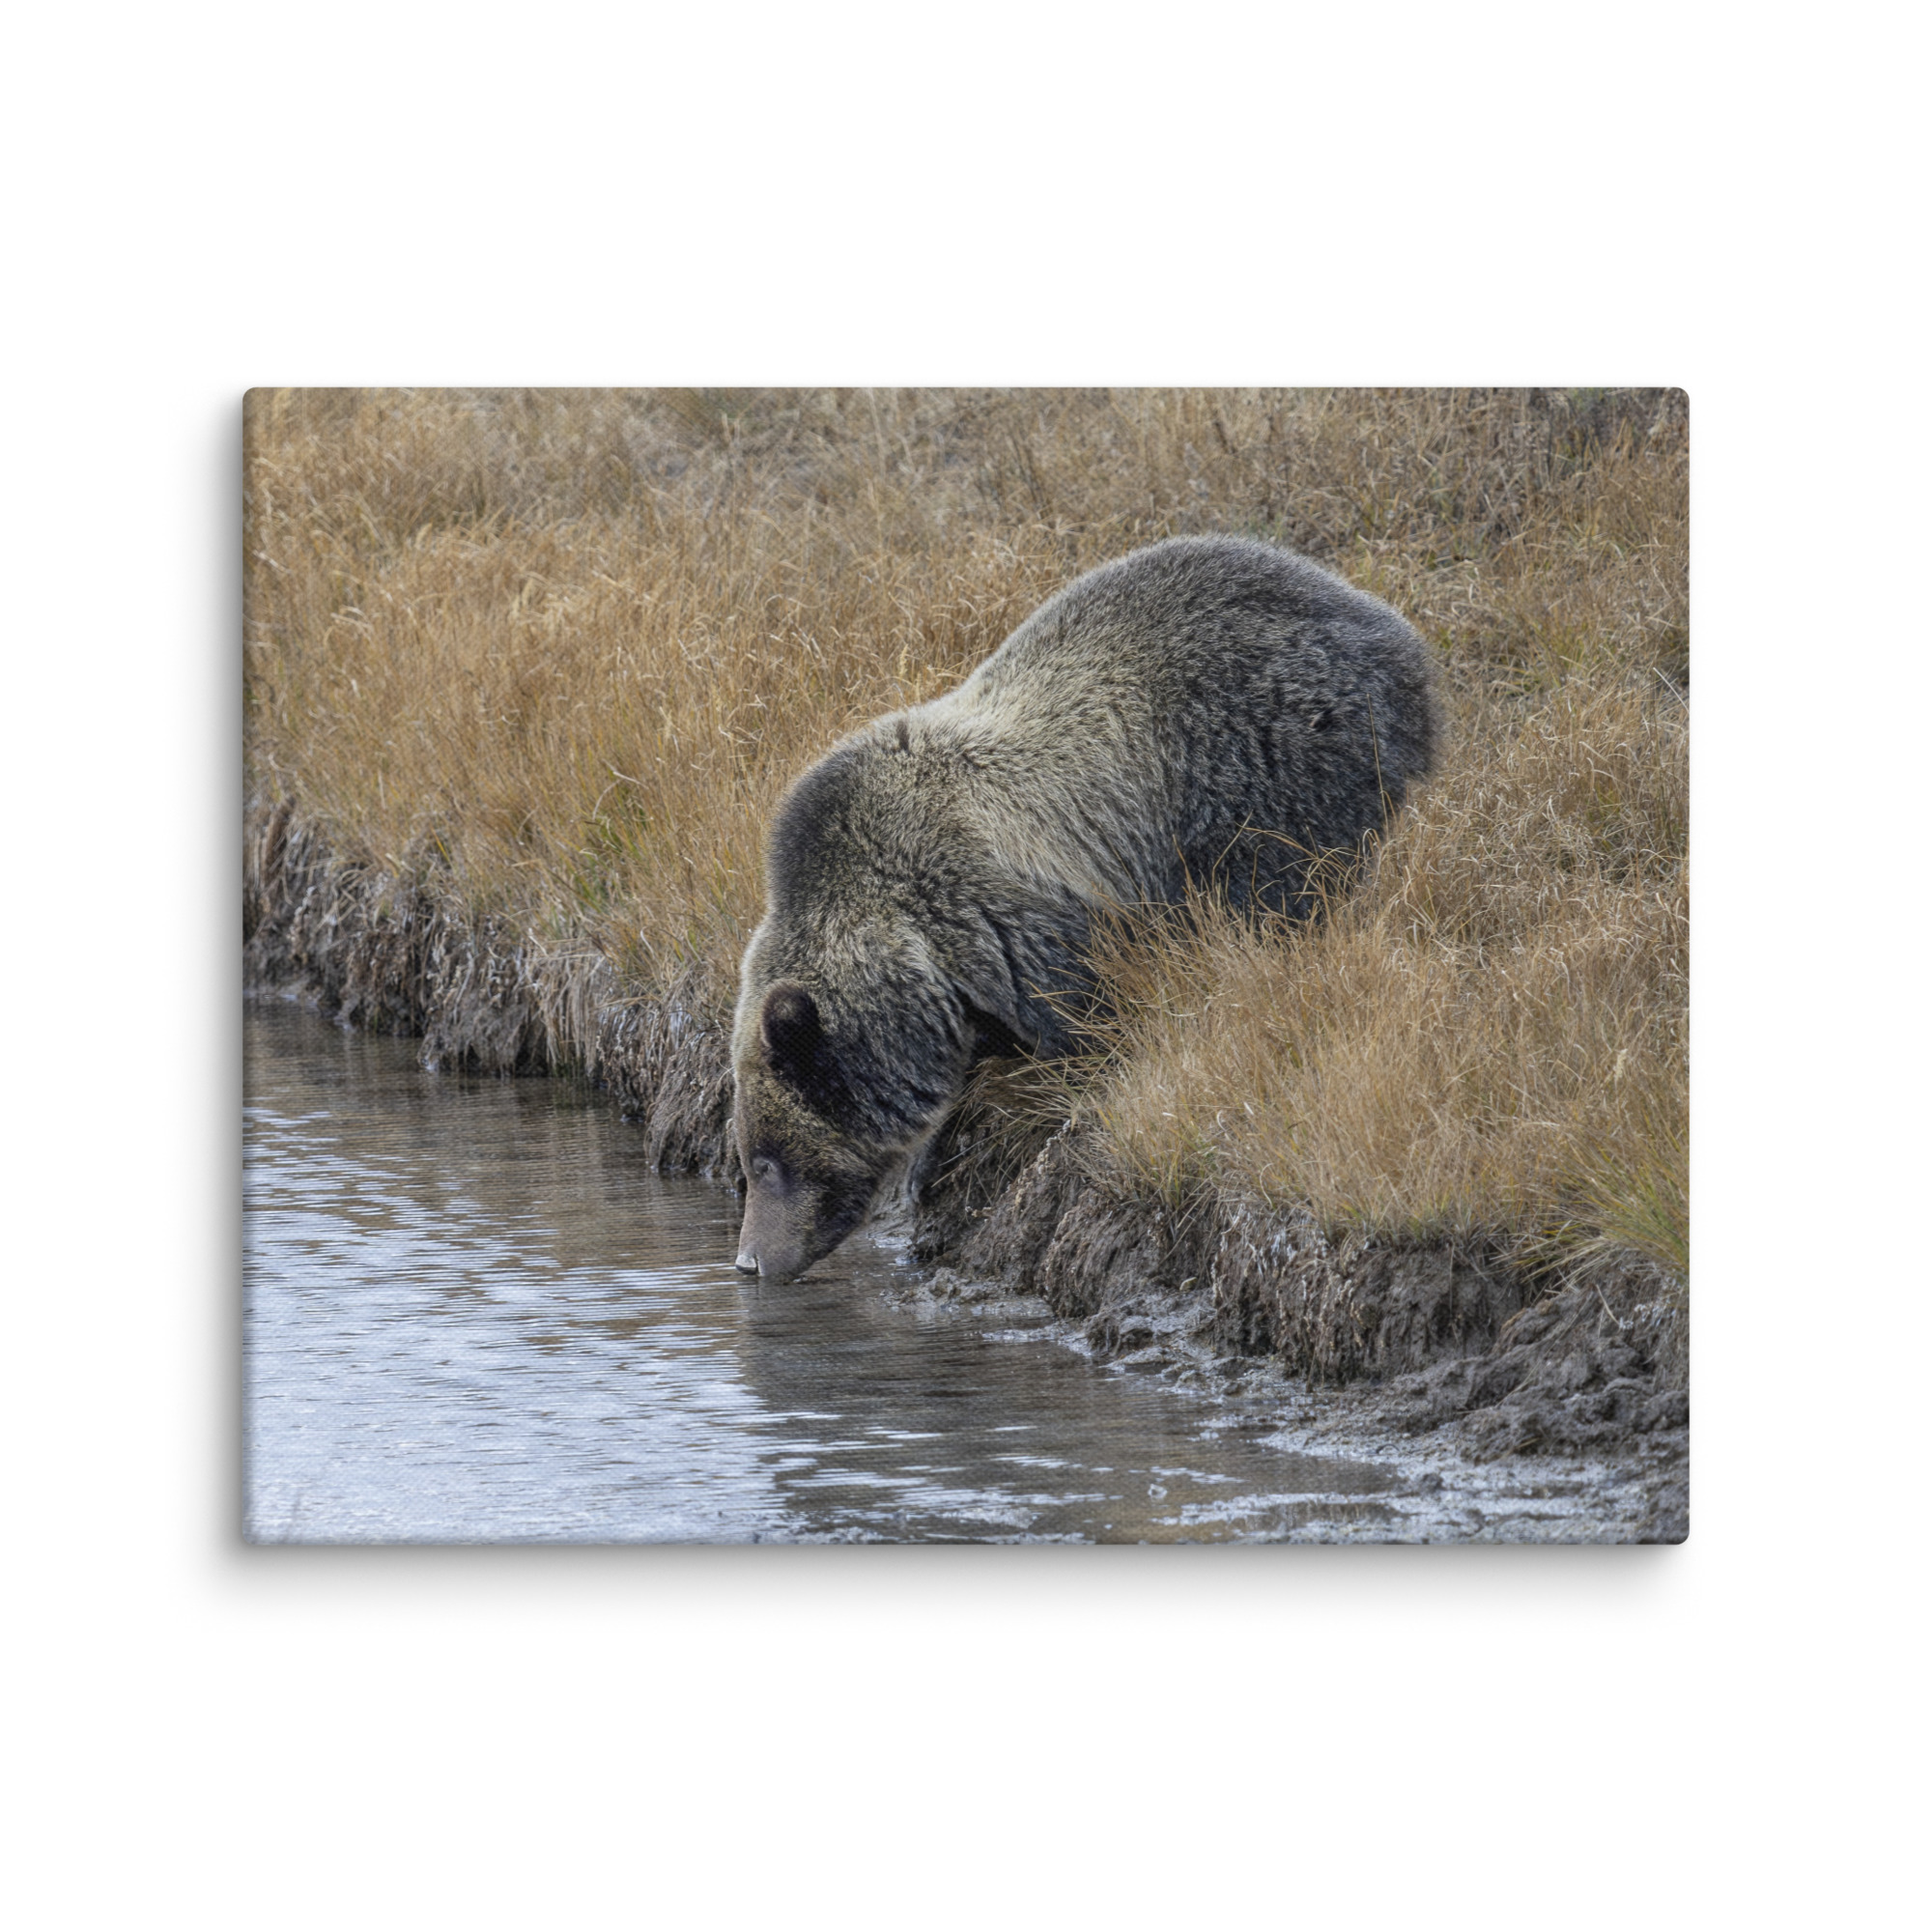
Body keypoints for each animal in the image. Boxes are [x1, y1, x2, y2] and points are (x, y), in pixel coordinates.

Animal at [730, 534, 1441, 1281]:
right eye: (748, 1161)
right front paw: (930, 1156)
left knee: (1280, 889)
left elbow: (1083, 1023)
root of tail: (1391, 628)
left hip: (1268, 759)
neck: (919, 954)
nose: (749, 1261)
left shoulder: (1012, 922)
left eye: (767, 1161)